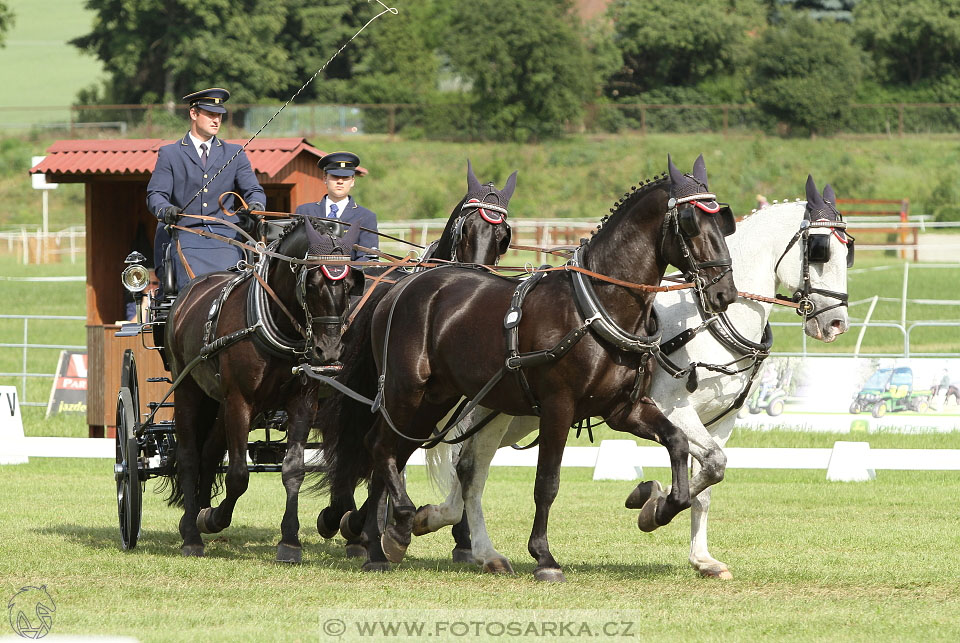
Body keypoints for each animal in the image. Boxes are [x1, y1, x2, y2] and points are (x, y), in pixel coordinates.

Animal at [165, 219, 364, 560]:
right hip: (189, 388)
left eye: (350, 285)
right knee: (189, 456)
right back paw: (192, 533)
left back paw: (197, 514)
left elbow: (294, 469)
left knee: (209, 452)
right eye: (312, 284)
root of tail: (189, 291)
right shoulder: (240, 401)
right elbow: (238, 475)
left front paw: (290, 542)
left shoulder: (303, 402)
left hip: (220, 402)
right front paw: (215, 518)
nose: (328, 351)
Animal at [332, 155, 744, 584]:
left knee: (394, 451)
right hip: (407, 389)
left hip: (435, 398)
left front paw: (656, 506)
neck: (596, 306)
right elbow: (547, 482)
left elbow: (677, 444)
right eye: (691, 222)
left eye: (722, 220)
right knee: (380, 447)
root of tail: (399, 287)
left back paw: (383, 540)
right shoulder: (558, 407)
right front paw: (544, 557)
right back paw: (390, 530)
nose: (724, 292)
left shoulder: (624, 409)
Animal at [416, 175, 852, 580]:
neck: (709, 320)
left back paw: (458, 535)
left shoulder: (722, 420)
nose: (836, 324)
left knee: (468, 467)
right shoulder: (672, 408)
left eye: (847, 252)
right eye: (819, 251)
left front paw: (699, 554)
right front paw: (651, 505)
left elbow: (710, 478)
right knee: (468, 467)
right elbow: (710, 463)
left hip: (515, 415)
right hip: (496, 410)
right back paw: (456, 533)